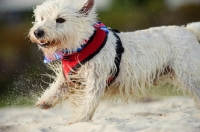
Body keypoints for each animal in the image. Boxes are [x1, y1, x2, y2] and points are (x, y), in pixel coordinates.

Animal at [28, 0, 200, 124]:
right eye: (41, 18)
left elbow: (89, 101)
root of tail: (189, 30)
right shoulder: (69, 78)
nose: (37, 32)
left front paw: (79, 120)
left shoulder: (95, 81)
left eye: (60, 20)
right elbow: (56, 89)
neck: (81, 45)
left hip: (190, 75)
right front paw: (45, 101)